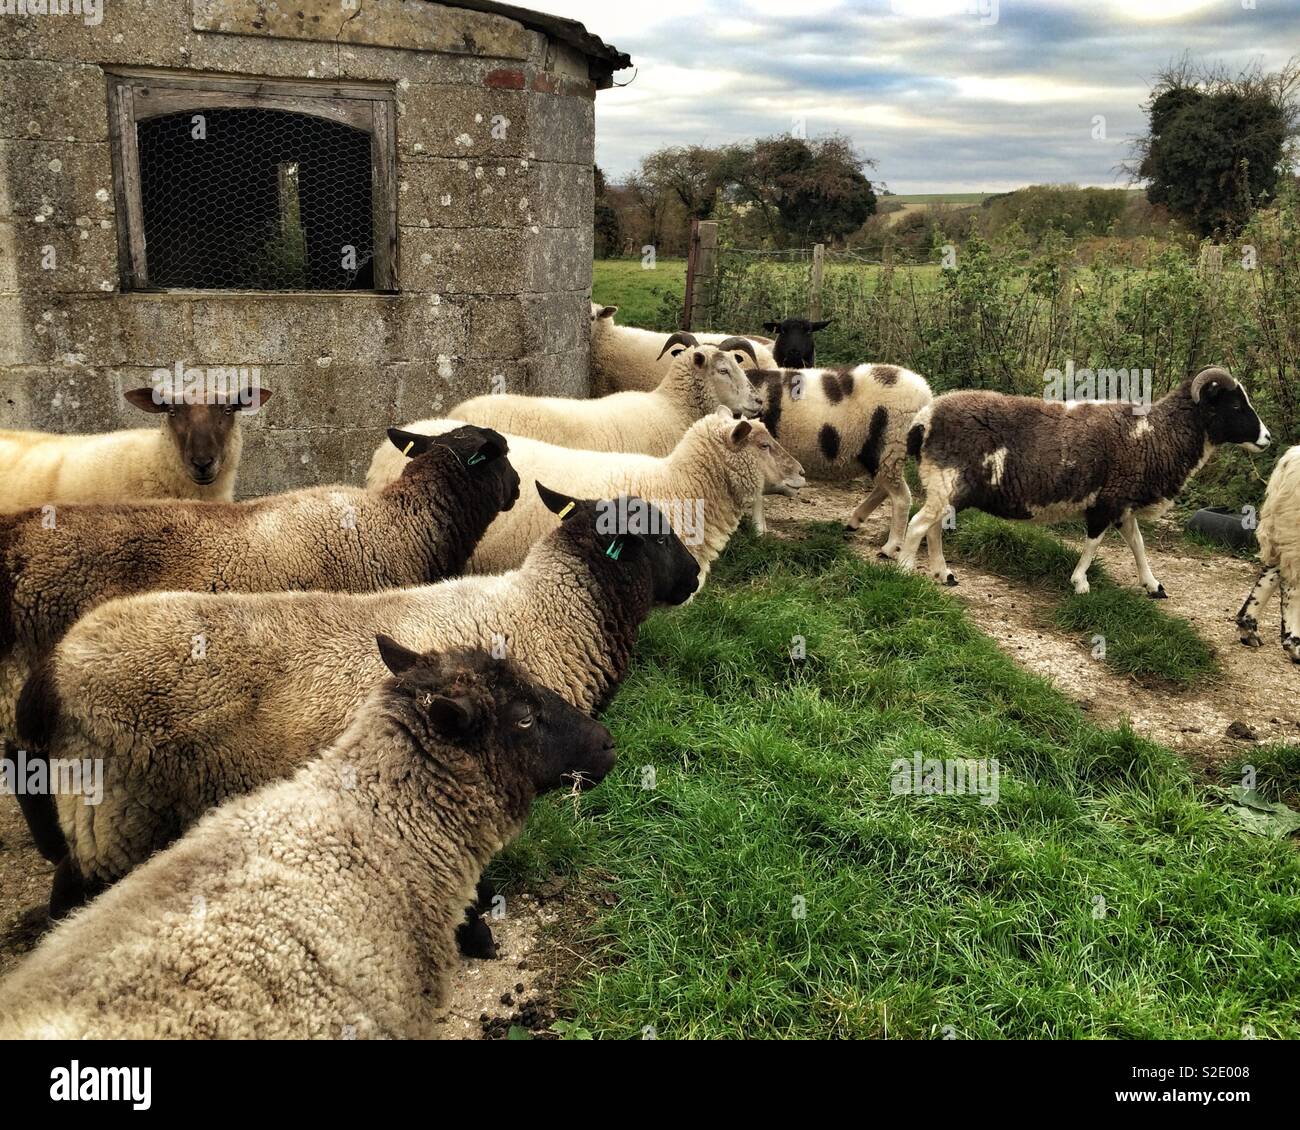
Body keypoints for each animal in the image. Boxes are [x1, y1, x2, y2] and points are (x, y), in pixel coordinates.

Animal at [747, 362, 934, 557]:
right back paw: (855, 521)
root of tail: (925, 393)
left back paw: (890, 548)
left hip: (890, 446)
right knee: (885, 486)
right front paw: (759, 528)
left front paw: (758, 530)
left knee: (901, 498)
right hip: (884, 455)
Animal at [899, 367, 1271, 593]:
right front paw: (1080, 582)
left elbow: (1138, 544)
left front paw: (1153, 585)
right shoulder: (1106, 502)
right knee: (918, 525)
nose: (1267, 438)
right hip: (946, 483)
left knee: (932, 528)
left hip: (948, 489)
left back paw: (943, 573)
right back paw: (903, 570)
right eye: (1236, 406)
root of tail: (924, 419)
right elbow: (1094, 543)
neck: (1155, 435)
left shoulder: (1123, 505)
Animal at [1237, 444, 1300, 662]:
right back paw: (1294, 646)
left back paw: (1248, 629)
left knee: (1272, 573)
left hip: (1284, 529)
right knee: (1291, 585)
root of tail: (1288, 460)